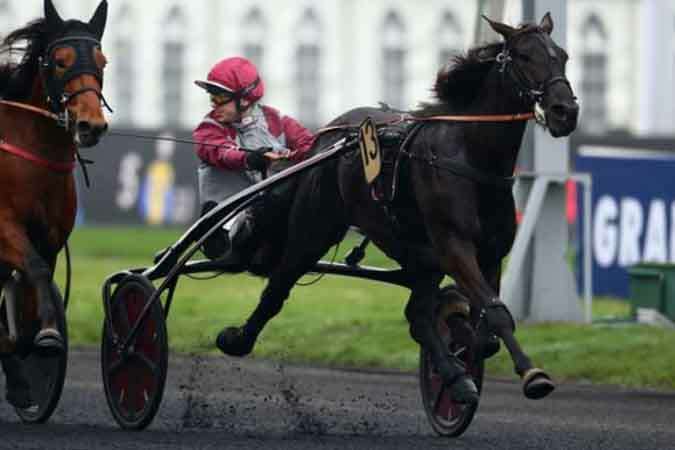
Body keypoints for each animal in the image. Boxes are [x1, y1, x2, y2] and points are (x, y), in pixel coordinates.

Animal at [0, 0, 108, 408]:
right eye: (60, 61)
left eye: (103, 61)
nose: (91, 125)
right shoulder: (4, 227)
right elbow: (35, 269)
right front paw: (44, 336)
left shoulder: (51, 236)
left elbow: (36, 277)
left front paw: (32, 344)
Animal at [217, 13, 580, 404]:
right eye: (524, 56)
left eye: (563, 55)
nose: (565, 111)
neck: (471, 158)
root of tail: (325, 136)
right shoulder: (454, 245)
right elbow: (495, 316)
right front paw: (532, 374)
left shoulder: (490, 253)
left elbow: (486, 330)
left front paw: (465, 344)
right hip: (314, 229)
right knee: (279, 286)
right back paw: (237, 339)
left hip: (415, 253)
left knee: (417, 316)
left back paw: (455, 377)